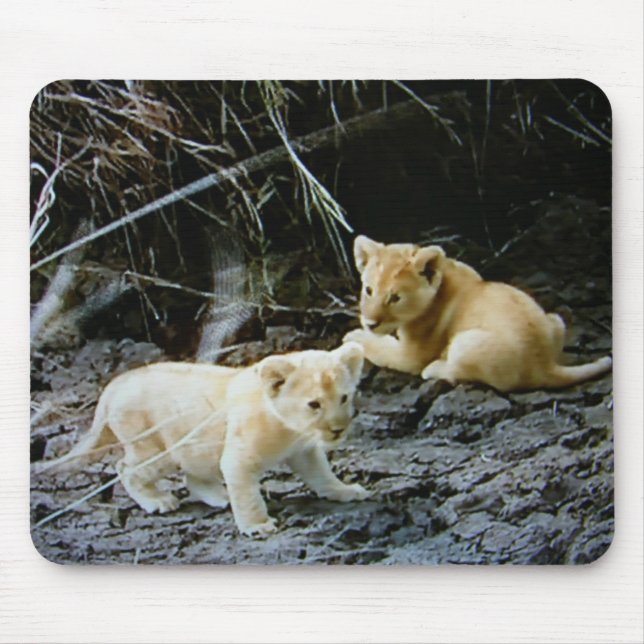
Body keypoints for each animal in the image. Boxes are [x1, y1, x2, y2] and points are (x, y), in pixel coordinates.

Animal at [46, 343, 368, 536]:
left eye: (344, 397)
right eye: (314, 404)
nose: (338, 430)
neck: (291, 430)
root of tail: (114, 384)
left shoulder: (304, 452)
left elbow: (322, 475)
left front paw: (345, 491)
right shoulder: (239, 458)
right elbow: (248, 496)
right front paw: (258, 526)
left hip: (195, 446)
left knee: (193, 476)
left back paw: (219, 496)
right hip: (155, 448)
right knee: (126, 469)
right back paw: (158, 500)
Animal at [343, 235, 612, 393]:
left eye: (395, 297)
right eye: (368, 290)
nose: (370, 323)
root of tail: (545, 365)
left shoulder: (410, 356)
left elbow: (381, 349)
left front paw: (354, 337)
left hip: (465, 344)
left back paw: (436, 368)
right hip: (555, 319)